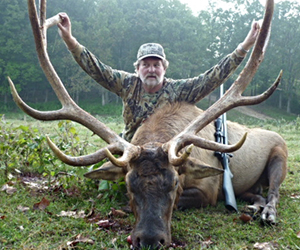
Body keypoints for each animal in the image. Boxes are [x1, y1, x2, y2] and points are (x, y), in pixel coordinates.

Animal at [8, 0, 288, 248]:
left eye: (174, 182)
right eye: (129, 183)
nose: (150, 240)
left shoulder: (210, 189)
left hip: (281, 154)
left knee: (274, 190)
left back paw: (267, 213)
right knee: (256, 191)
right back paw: (254, 204)